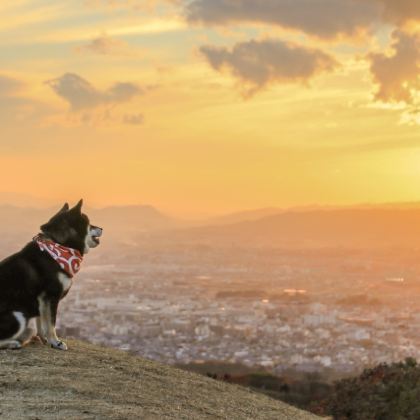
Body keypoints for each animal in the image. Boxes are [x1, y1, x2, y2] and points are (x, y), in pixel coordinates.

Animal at [0, 200, 102, 352]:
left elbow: (41, 322)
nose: (101, 228)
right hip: (18, 315)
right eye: (89, 223)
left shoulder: (42, 301)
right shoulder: (50, 296)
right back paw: (13, 343)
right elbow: (51, 324)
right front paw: (55, 342)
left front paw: (44, 339)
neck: (59, 246)